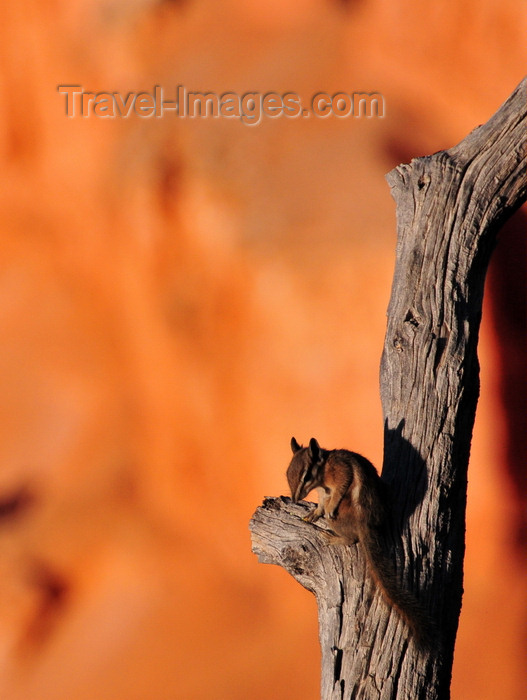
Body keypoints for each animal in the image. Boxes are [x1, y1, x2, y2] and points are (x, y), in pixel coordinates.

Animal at [288, 434, 434, 648]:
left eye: (306, 476)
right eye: (287, 473)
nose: (294, 499)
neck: (324, 470)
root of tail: (365, 526)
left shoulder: (340, 471)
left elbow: (341, 486)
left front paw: (327, 508)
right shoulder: (323, 492)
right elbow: (321, 502)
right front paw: (313, 513)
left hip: (340, 519)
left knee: (351, 538)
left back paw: (334, 537)